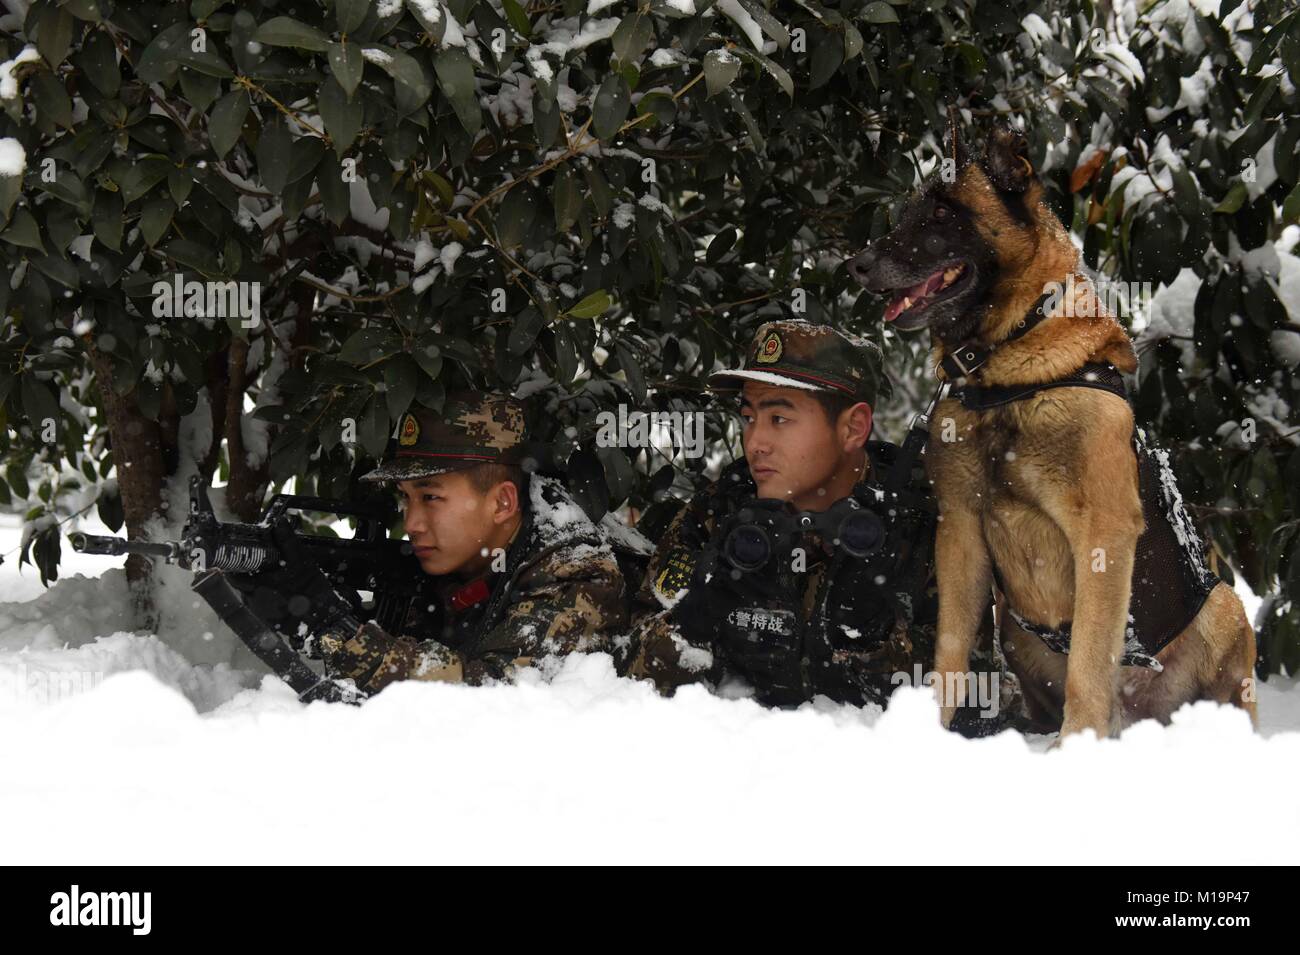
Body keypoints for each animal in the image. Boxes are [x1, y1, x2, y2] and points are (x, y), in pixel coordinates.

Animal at [847, 125, 1253, 738]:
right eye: (908, 214)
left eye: (943, 215)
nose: (857, 264)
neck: (1004, 367)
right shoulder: (960, 531)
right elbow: (949, 657)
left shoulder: (1104, 536)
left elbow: (1089, 664)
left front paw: (1075, 749)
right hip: (1014, 627)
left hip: (1225, 606)